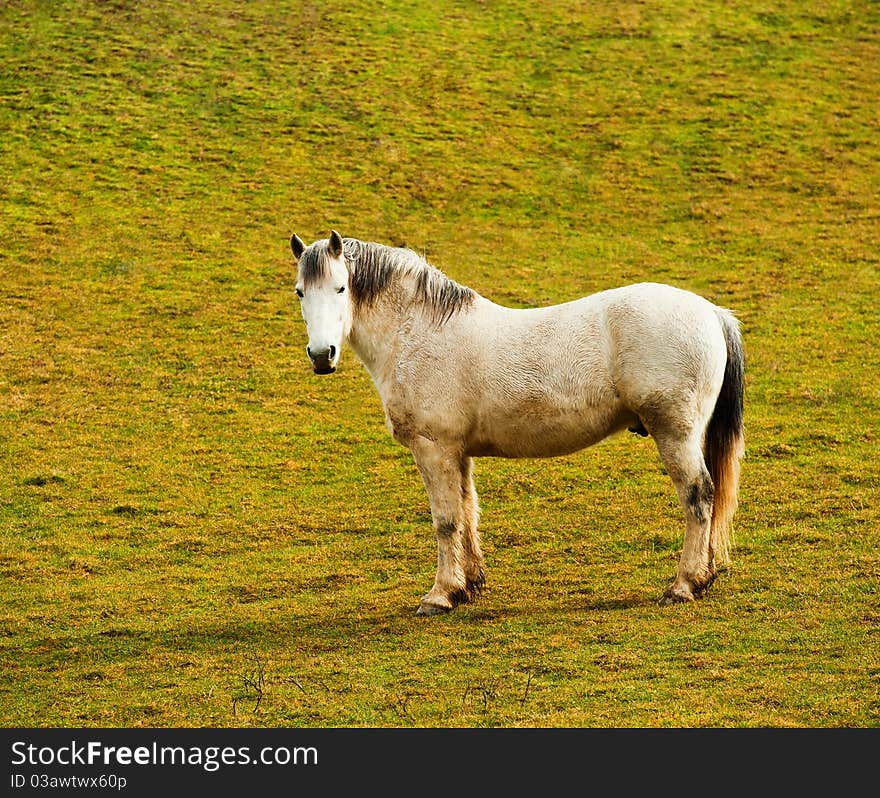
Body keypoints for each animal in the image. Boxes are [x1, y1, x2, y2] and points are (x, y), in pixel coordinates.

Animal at [288, 231, 744, 620]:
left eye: (341, 288)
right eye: (300, 292)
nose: (322, 355)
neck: (418, 332)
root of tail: (711, 312)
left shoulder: (433, 448)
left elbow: (446, 520)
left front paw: (439, 595)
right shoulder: (458, 452)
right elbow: (468, 512)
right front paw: (467, 586)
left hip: (674, 433)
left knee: (698, 496)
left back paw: (684, 585)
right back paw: (703, 578)